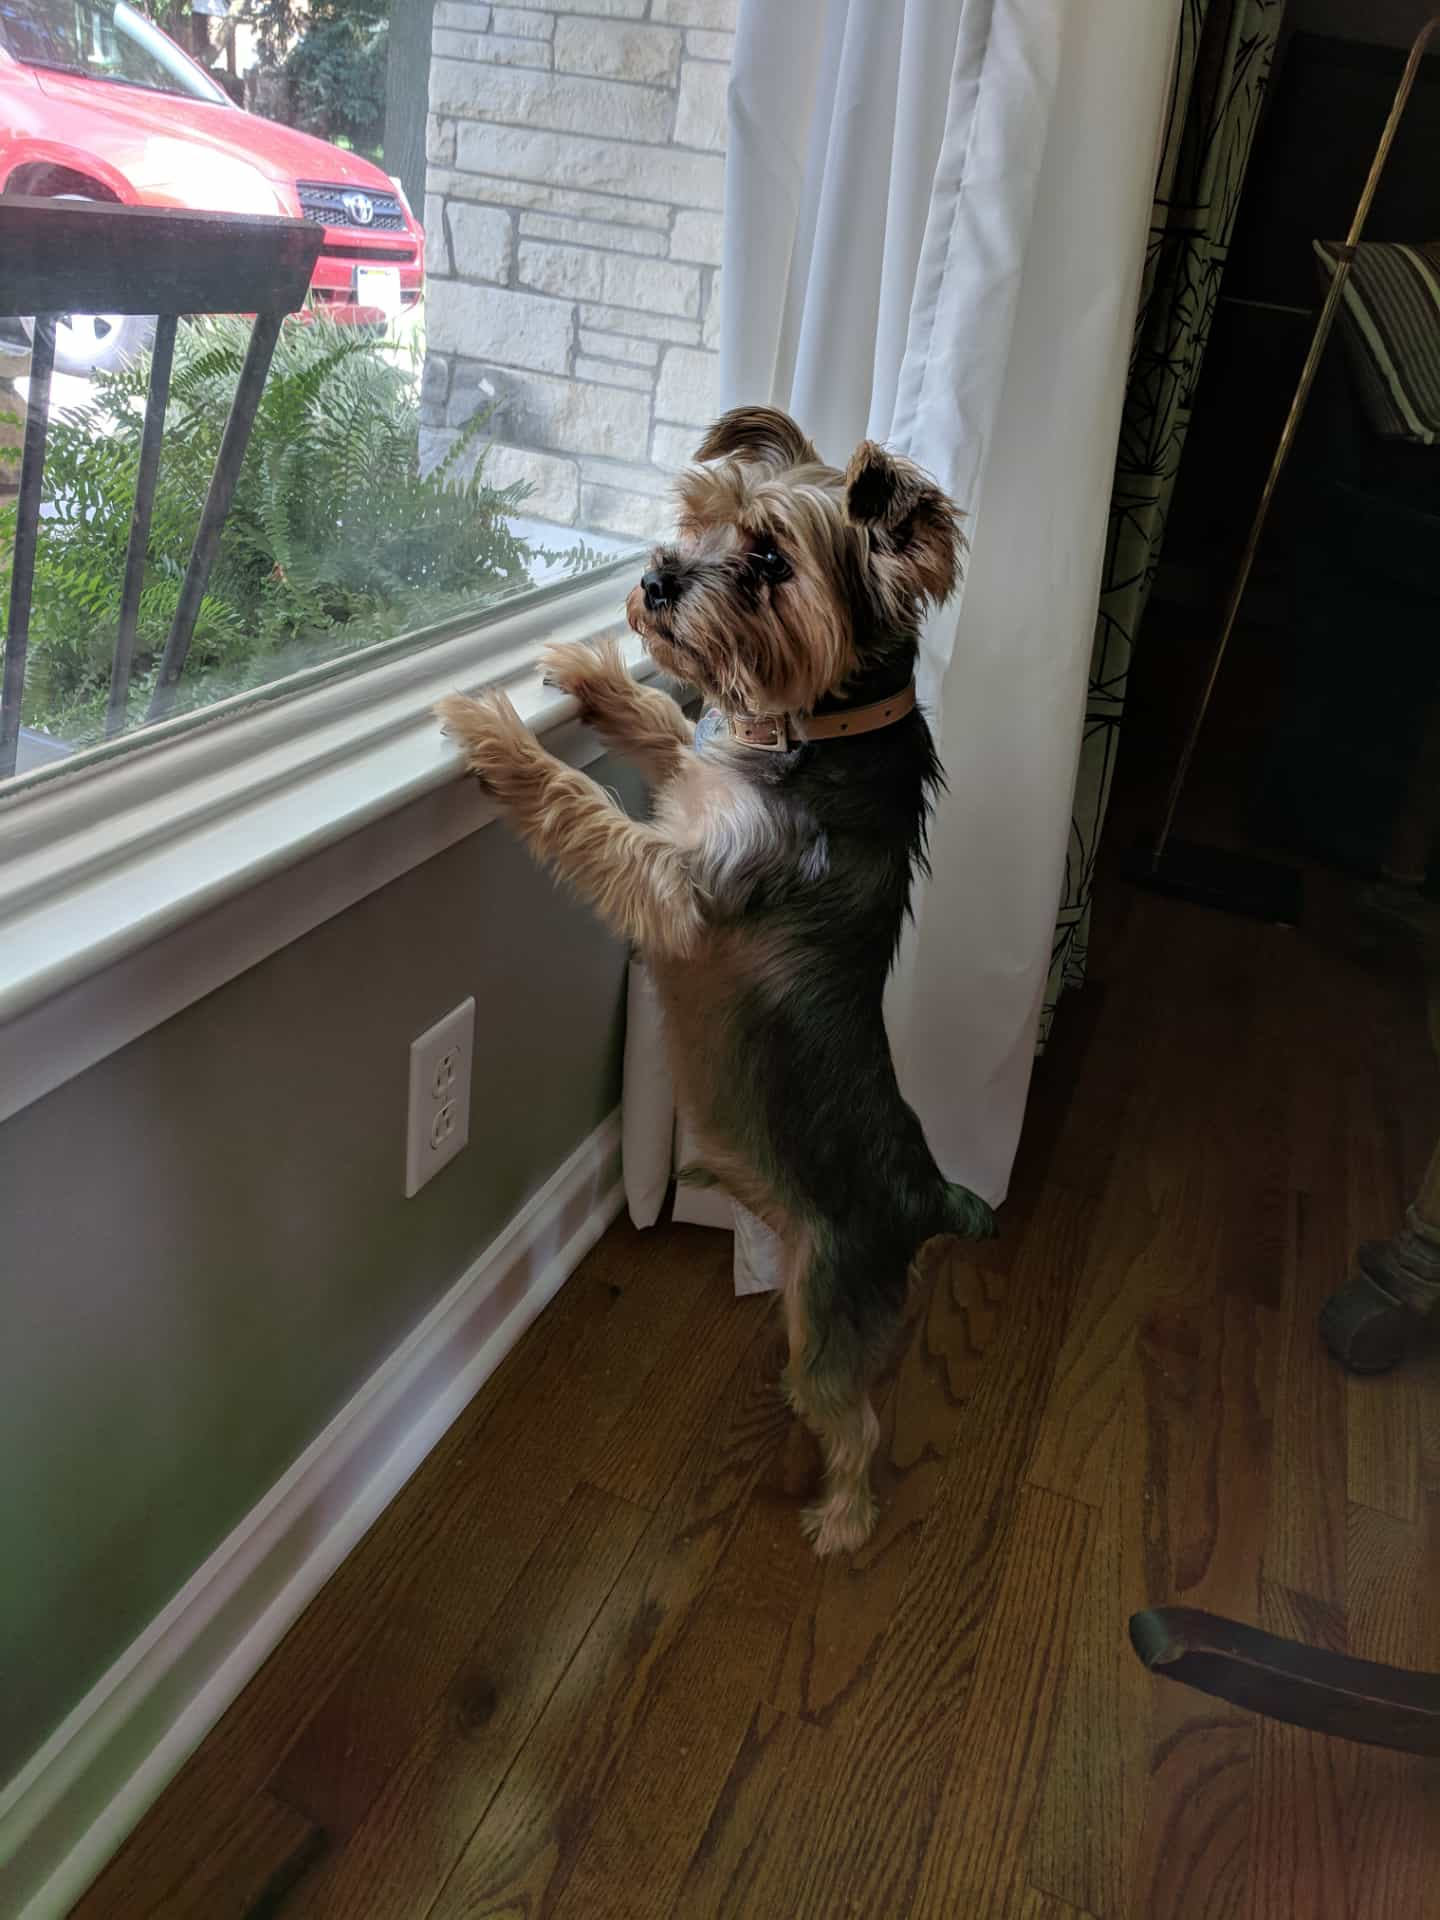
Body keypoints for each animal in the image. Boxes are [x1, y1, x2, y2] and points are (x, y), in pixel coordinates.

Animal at [437, 401, 990, 1543]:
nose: (654, 579)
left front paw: (495, 733)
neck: (812, 727)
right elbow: (661, 729)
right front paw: (591, 673)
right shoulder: (695, 779)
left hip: (831, 1302)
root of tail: (928, 1198)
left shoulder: (682, 885)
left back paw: (838, 1521)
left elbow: (584, 808)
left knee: (857, 1418)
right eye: (699, 518)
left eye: (769, 559)